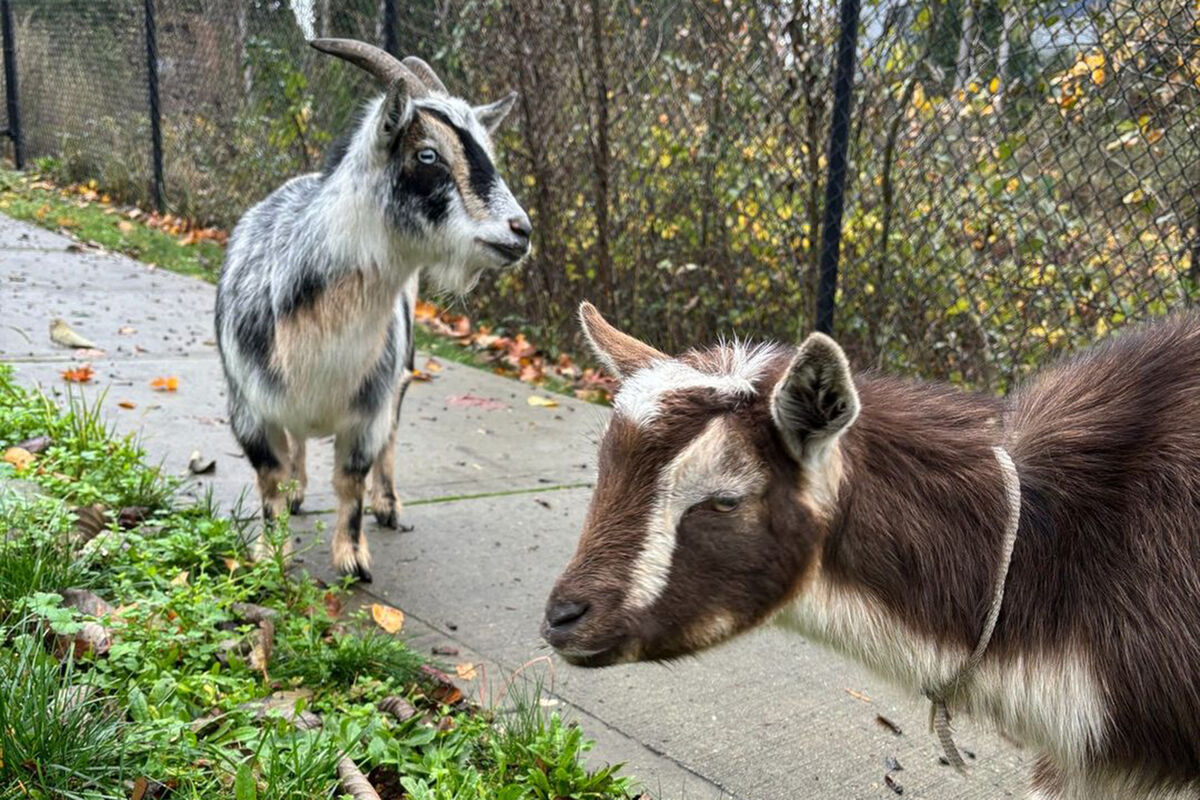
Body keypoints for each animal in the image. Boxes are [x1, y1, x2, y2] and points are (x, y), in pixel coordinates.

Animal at [215, 39, 530, 581]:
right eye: (428, 154)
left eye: (487, 154)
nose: (520, 231)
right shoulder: (248, 407)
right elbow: (271, 479)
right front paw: (270, 553)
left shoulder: (369, 411)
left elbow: (351, 480)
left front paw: (353, 557)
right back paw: (301, 491)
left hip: (399, 375)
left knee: (391, 439)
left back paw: (389, 506)